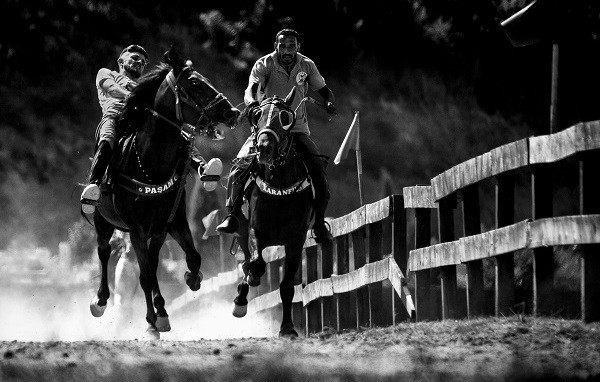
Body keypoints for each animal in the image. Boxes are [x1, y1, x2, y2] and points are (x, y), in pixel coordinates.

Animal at [89, 47, 239, 338]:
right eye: (194, 83)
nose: (233, 113)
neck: (150, 163)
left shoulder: (173, 222)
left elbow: (193, 257)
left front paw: (192, 279)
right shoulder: (136, 229)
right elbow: (145, 276)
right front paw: (150, 325)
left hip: (155, 233)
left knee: (152, 261)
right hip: (104, 221)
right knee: (104, 251)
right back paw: (100, 302)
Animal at [231, 87, 314, 338]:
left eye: (284, 118)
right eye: (258, 115)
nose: (265, 148)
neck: (279, 186)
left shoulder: (295, 238)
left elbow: (286, 286)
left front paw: (287, 327)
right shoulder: (256, 230)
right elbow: (256, 262)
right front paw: (250, 281)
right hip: (240, 228)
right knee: (247, 260)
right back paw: (242, 297)